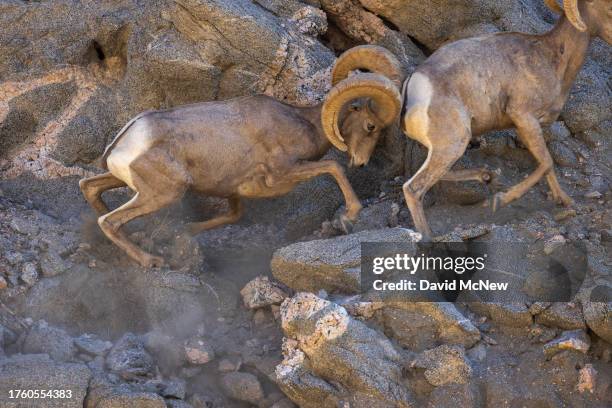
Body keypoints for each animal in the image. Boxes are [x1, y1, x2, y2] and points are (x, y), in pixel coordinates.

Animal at [79, 46, 402, 266]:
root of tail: (126, 140)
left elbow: (234, 215)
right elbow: (334, 166)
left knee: (90, 187)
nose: (361, 162)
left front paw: (186, 230)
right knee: (109, 221)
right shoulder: (283, 172)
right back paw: (151, 261)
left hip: (128, 182)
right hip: (165, 192)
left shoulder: (233, 192)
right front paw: (350, 216)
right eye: (371, 126)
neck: (302, 123)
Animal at [328, 0, 612, 237]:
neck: (552, 57)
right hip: (453, 144)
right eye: (608, 9)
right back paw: (429, 236)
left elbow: (547, 164)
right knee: (413, 188)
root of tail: (410, 90)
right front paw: (501, 201)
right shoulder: (524, 118)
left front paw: (565, 201)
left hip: (448, 148)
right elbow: (546, 163)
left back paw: (486, 176)